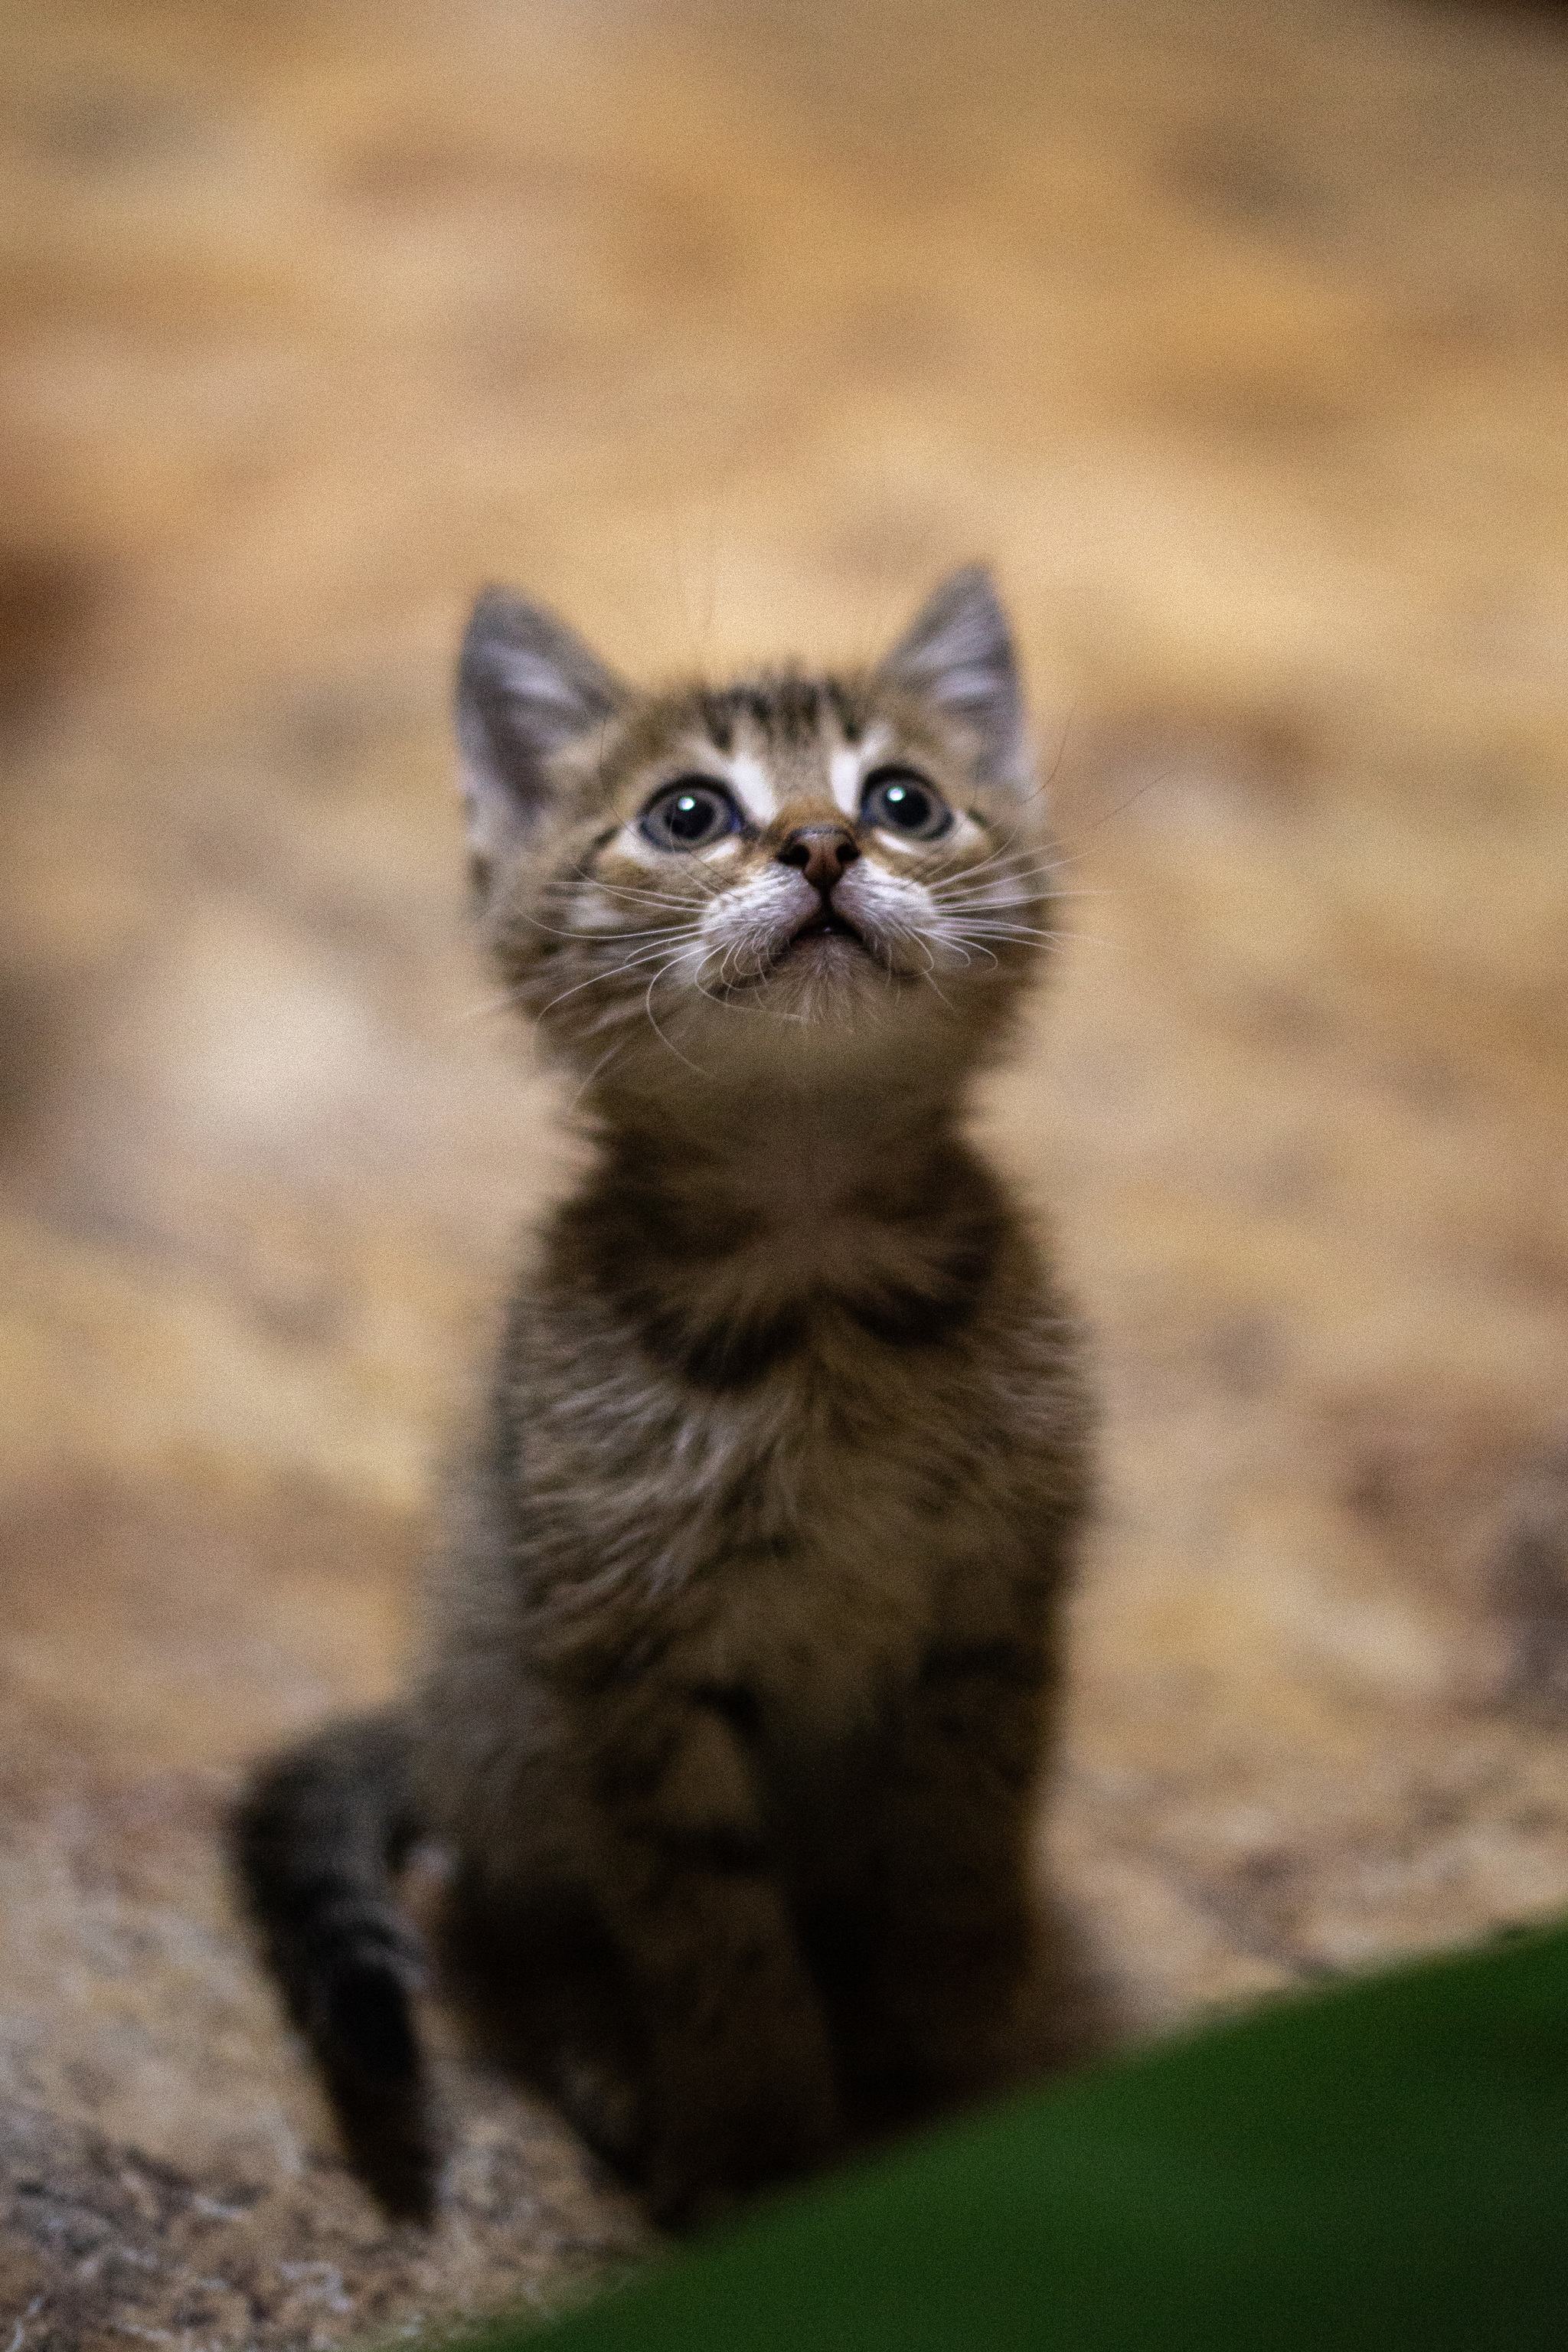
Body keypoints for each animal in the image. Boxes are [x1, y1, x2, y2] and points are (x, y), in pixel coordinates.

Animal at [236, 564, 1090, 2220]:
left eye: (903, 800)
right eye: (688, 814)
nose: (822, 845)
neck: (813, 1273)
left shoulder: (994, 1607)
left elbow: (958, 1843)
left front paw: (954, 2036)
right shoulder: (620, 1654)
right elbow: (706, 1921)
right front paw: (756, 2131)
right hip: (511, 1723)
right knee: (518, 1914)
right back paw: (609, 2050)